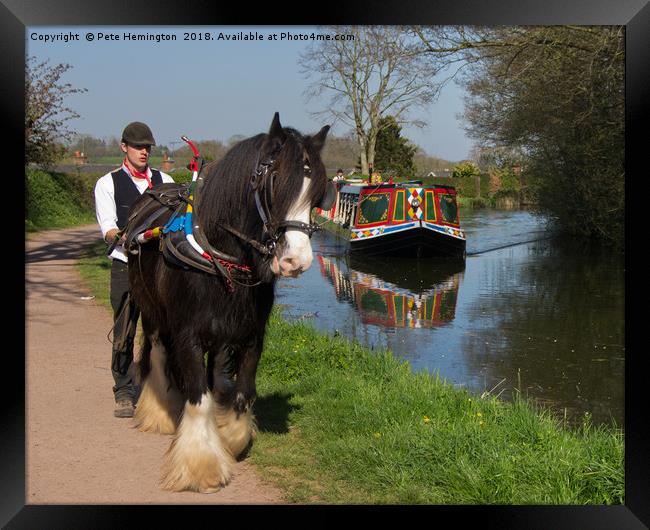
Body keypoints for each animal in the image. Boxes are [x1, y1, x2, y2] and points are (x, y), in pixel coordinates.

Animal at [126, 112, 330, 490]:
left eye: (319, 191)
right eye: (275, 180)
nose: (296, 260)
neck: (219, 253)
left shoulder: (251, 335)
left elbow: (240, 393)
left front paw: (230, 438)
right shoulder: (188, 335)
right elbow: (198, 398)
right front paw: (201, 465)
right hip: (152, 312)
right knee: (158, 356)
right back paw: (158, 413)